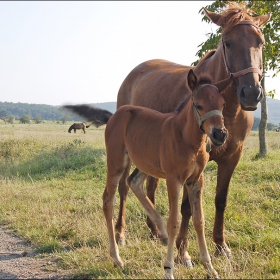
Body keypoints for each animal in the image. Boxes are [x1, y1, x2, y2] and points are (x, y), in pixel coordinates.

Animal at [64, 70, 230, 278]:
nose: (220, 134)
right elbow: (174, 222)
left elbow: (199, 220)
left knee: (133, 182)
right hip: (117, 163)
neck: (186, 139)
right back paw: (117, 258)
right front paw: (168, 269)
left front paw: (210, 268)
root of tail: (115, 115)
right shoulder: (174, 179)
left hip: (145, 163)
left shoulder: (196, 180)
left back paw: (159, 230)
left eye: (222, 104)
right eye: (199, 105)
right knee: (108, 200)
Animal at [109, 1, 272, 262]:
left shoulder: (231, 157)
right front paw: (182, 251)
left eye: (261, 42)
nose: (251, 93)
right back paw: (121, 233)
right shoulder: (191, 163)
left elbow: (221, 199)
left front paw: (221, 245)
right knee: (124, 186)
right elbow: (186, 207)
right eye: (228, 42)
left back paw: (155, 230)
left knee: (149, 184)